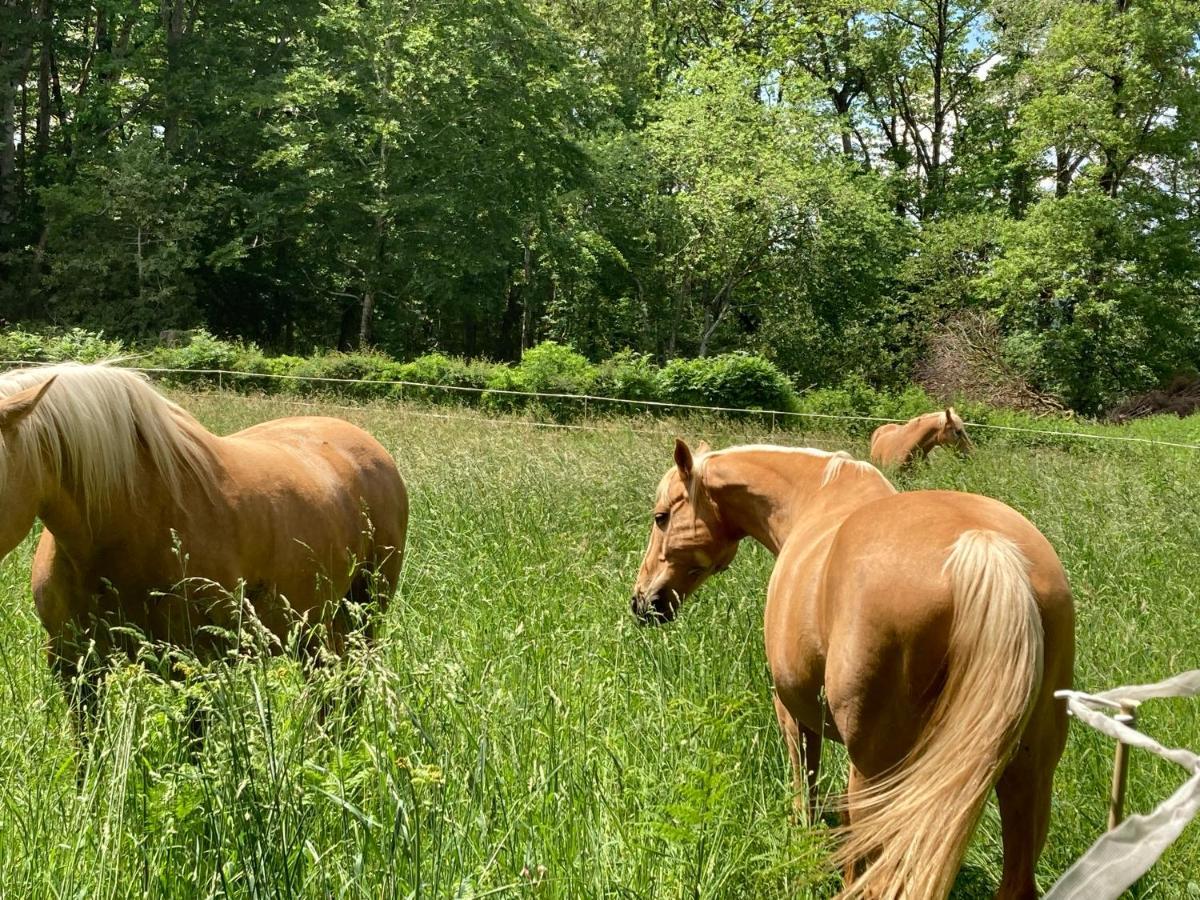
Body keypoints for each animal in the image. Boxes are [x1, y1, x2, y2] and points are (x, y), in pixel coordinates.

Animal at [633, 441, 1075, 900]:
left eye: (661, 516)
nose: (642, 601)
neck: (812, 497)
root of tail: (986, 549)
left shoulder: (794, 713)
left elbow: (804, 790)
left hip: (875, 769)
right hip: (1029, 771)